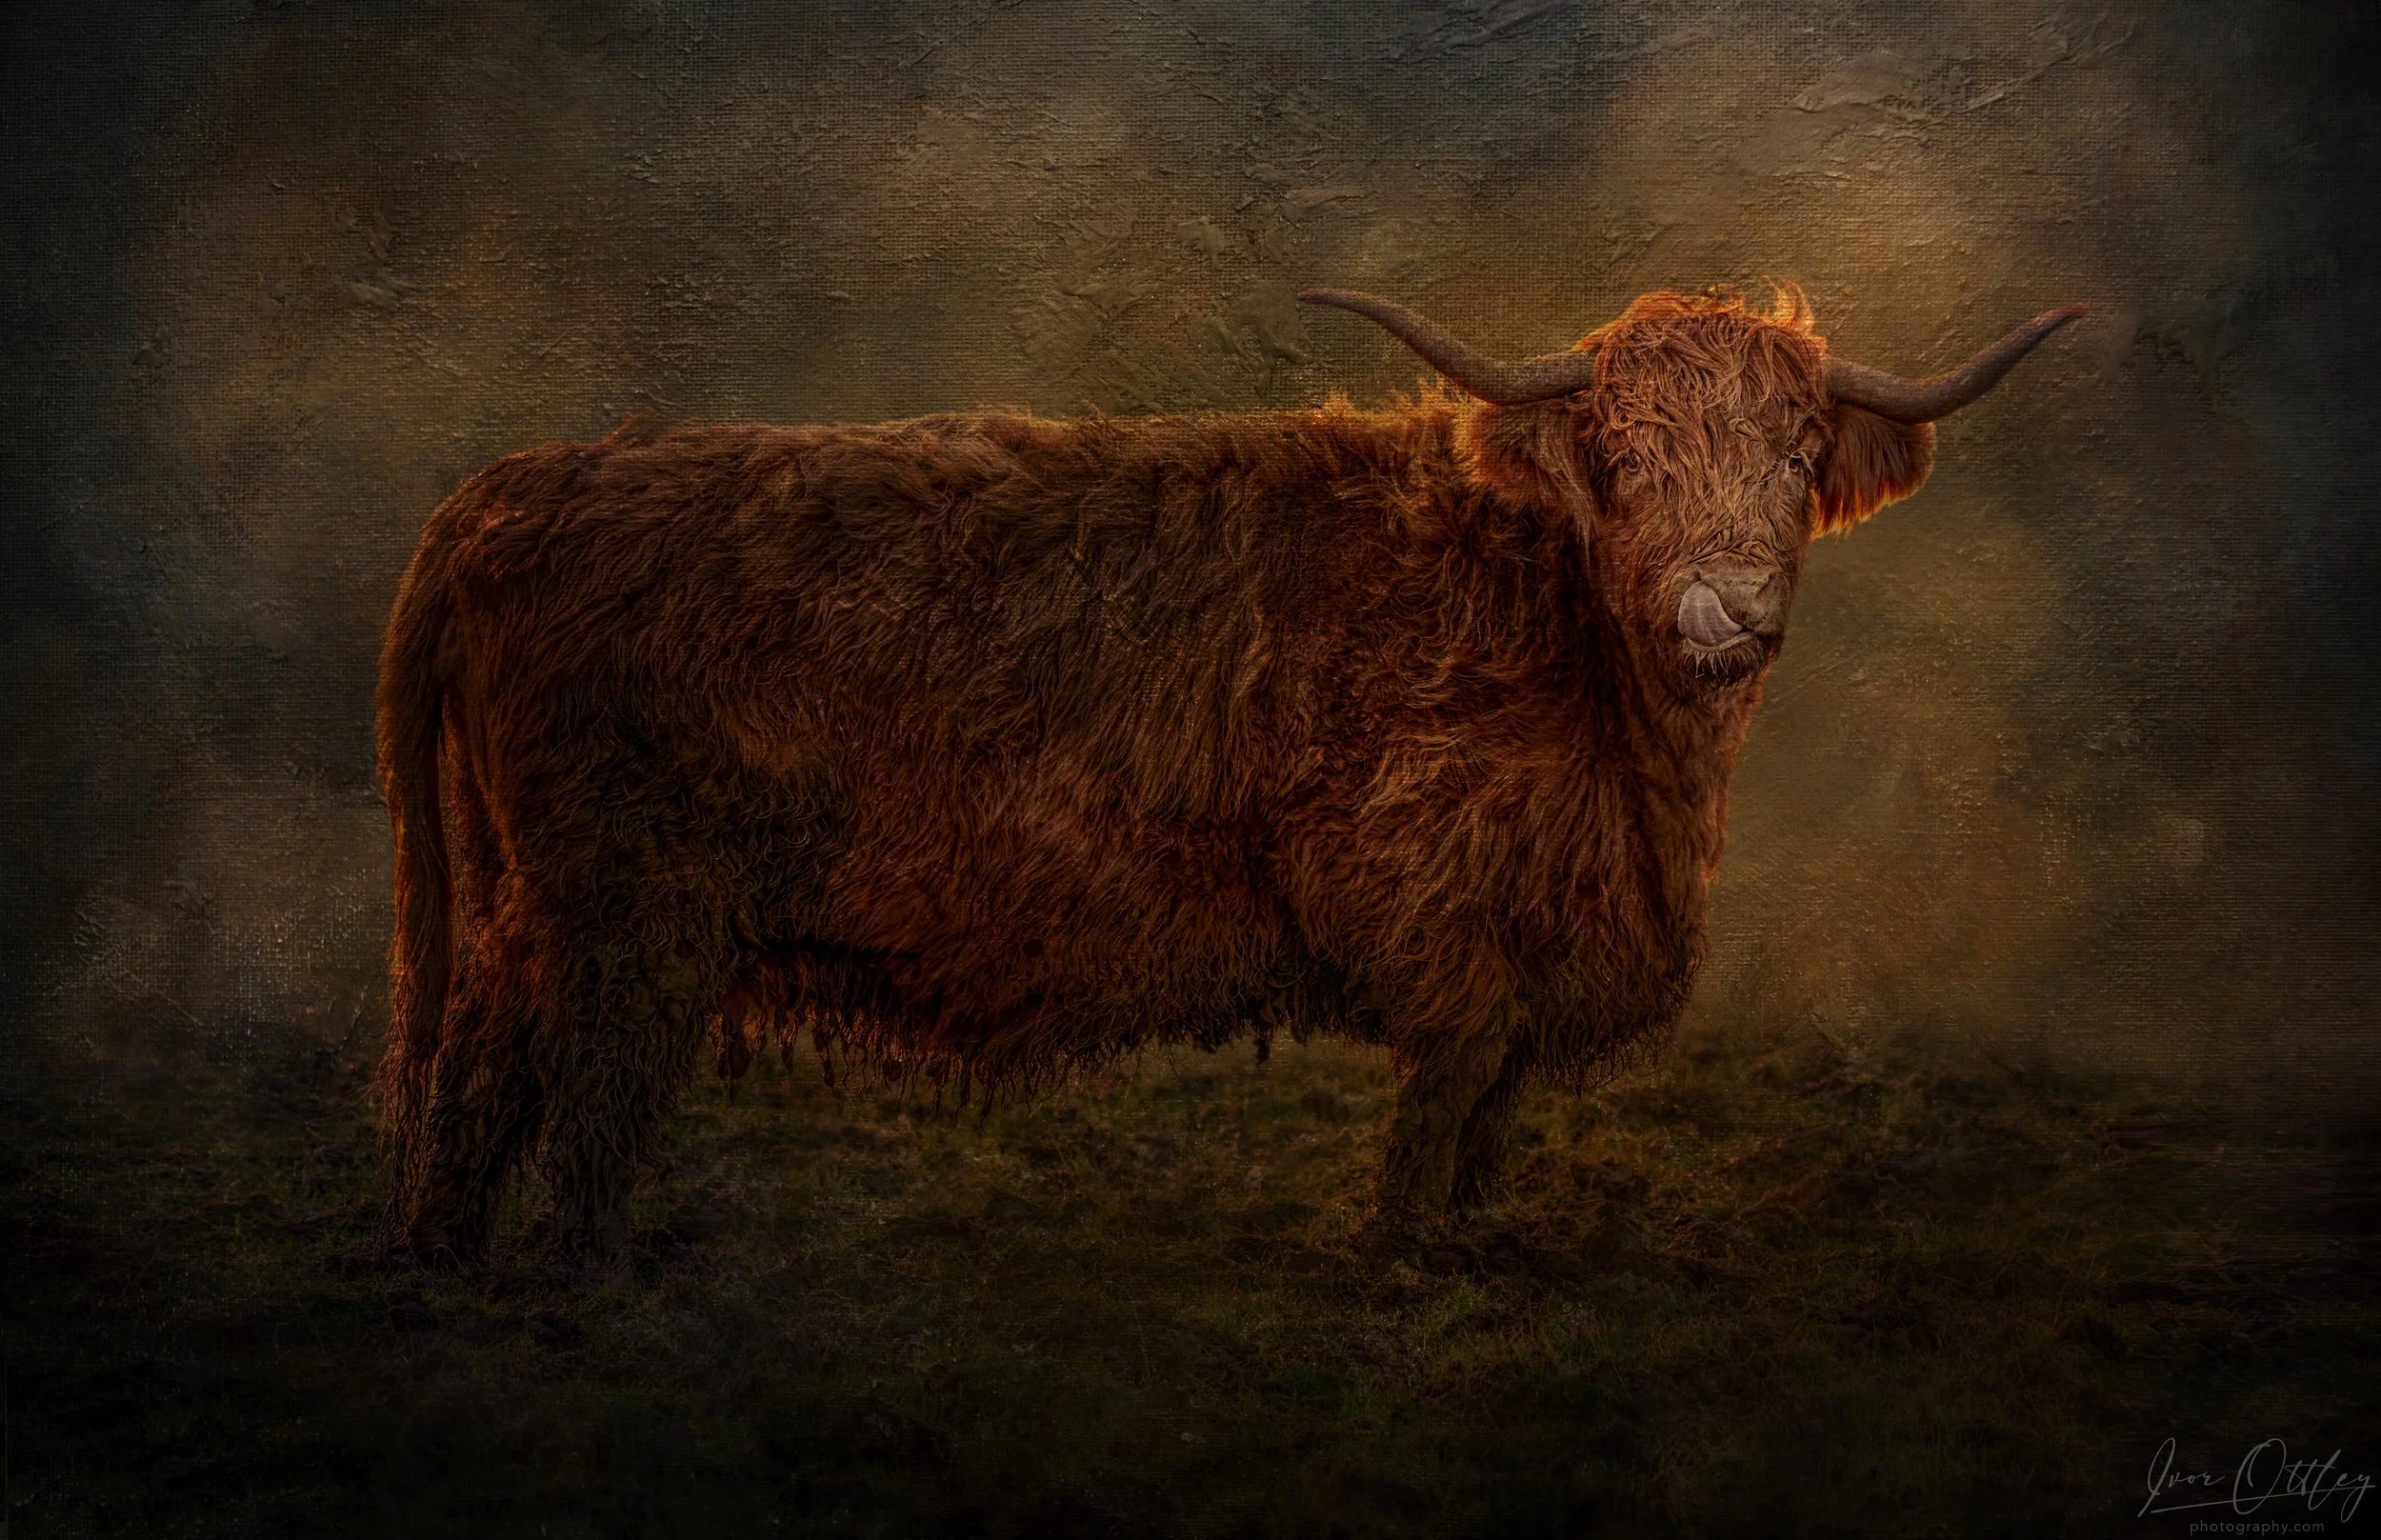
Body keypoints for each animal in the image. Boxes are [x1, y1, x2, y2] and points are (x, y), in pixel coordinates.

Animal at [373, 282, 2084, 1272]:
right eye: (1619, 460)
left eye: (1797, 455)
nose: (1723, 612)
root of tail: (515, 485)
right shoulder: (1430, 904)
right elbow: (1456, 1079)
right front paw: (1401, 1259)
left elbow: (1495, 1112)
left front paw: (1476, 1245)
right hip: (629, 915)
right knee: (568, 1089)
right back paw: (574, 1279)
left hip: (544, 895)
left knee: (485, 1065)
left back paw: (453, 1267)